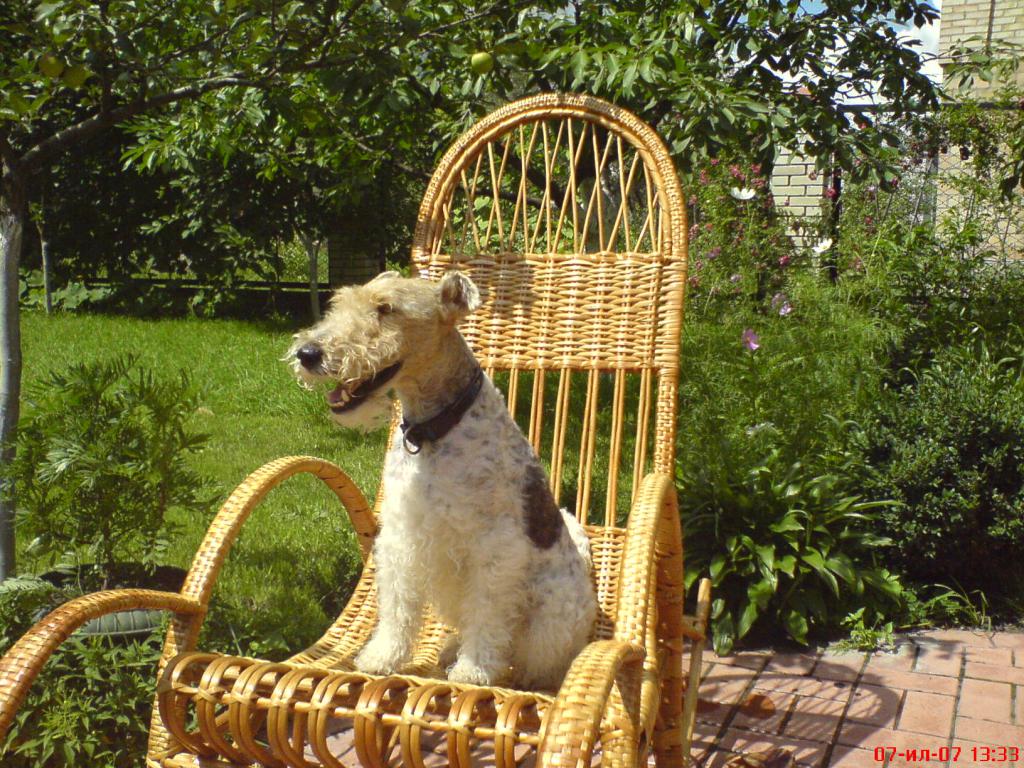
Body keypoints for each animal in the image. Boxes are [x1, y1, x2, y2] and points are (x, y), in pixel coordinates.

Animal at [289, 270, 597, 689]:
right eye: (340, 302)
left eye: (386, 309)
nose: (308, 354)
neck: (434, 430)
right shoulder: (401, 534)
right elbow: (397, 607)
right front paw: (382, 657)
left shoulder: (495, 547)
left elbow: (488, 613)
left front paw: (474, 670)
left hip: (552, 614)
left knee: (529, 657)